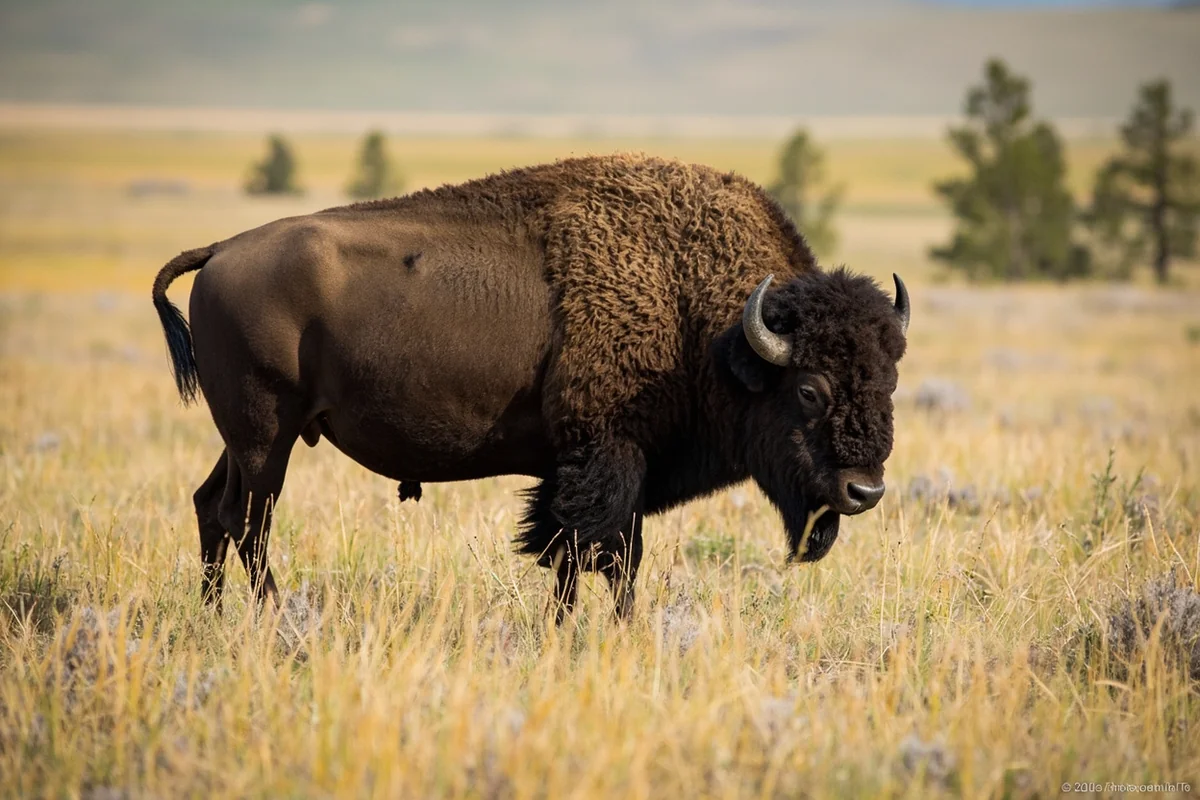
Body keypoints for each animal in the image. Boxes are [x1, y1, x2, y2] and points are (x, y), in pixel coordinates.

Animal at [152, 153, 909, 620]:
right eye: (809, 389)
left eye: (891, 378)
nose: (864, 491)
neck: (704, 317)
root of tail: (220, 251)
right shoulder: (605, 459)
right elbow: (596, 555)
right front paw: (588, 633)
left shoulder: (599, 467)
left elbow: (594, 557)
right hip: (265, 436)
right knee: (248, 522)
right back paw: (278, 620)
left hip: (247, 438)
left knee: (212, 508)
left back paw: (213, 617)